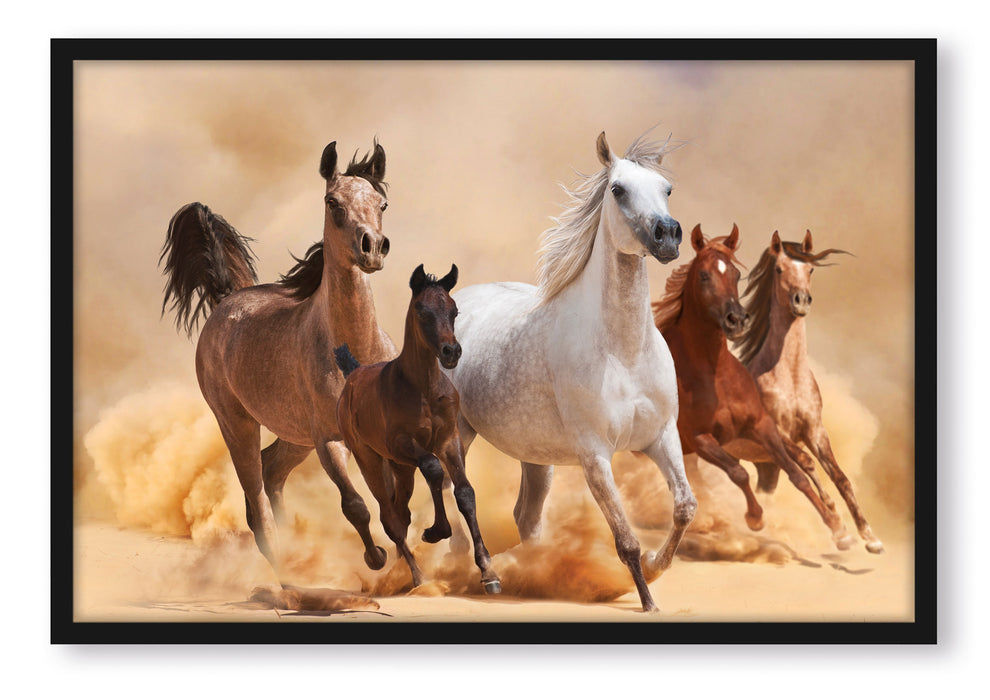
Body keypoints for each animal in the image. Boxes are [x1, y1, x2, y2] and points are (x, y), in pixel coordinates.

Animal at [159, 139, 397, 580]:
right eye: (332, 202)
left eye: (382, 203)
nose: (372, 247)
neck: (355, 351)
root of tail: (227, 300)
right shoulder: (329, 440)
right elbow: (356, 506)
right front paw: (377, 559)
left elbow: (393, 501)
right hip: (238, 424)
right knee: (256, 498)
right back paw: (284, 570)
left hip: (293, 436)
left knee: (271, 470)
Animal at [334, 264, 502, 594]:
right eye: (422, 310)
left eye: (454, 310)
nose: (451, 351)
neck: (423, 388)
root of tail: (353, 373)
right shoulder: (403, 443)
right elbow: (434, 469)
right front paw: (436, 531)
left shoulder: (450, 439)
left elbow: (465, 493)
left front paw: (489, 572)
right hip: (370, 459)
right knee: (389, 517)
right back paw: (417, 576)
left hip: (401, 469)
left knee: (401, 512)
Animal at [444, 130, 697, 613]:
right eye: (617, 189)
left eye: (668, 189)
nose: (668, 235)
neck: (623, 352)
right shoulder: (594, 454)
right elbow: (625, 539)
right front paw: (647, 600)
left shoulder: (661, 436)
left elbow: (684, 507)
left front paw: (657, 566)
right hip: (458, 434)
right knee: (455, 497)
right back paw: (476, 573)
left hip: (535, 456)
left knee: (526, 516)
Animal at [653, 223, 854, 550]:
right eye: (703, 275)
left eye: (736, 275)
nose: (736, 319)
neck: (715, 375)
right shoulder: (701, 438)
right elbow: (739, 473)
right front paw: (755, 518)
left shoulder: (766, 426)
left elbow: (800, 472)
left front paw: (840, 529)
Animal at [734, 230, 883, 553]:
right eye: (779, 269)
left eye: (811, 269)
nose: (801, 300)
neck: (789, 377)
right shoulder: (777, 433)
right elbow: (806, 463)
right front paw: (839, 528)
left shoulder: (815, 430)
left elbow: (841, 477)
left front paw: (870, 537)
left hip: (766, 466)